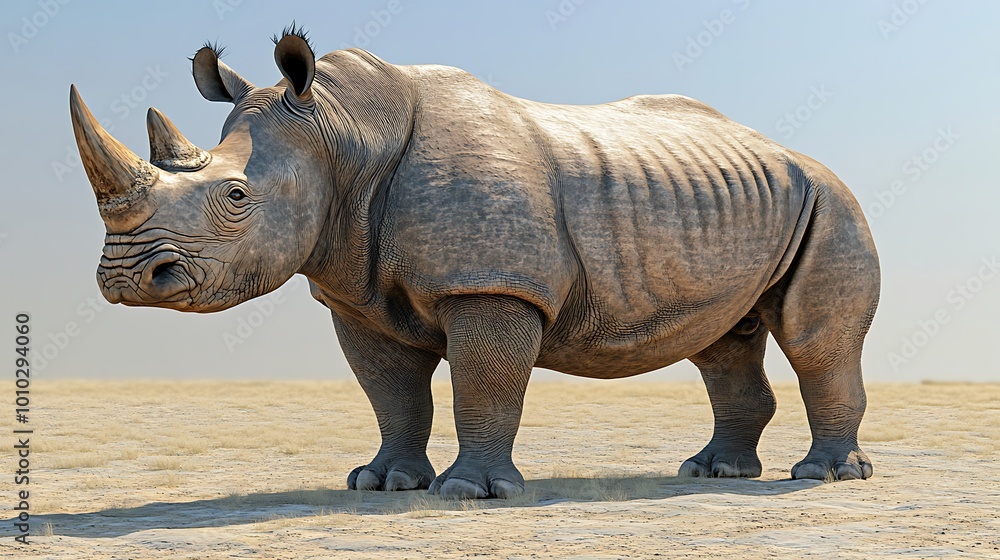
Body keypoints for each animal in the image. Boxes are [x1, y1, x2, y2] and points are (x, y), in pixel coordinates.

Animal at [70, 27, 880, 499]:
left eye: (235, 196)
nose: (125, 279)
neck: (341, 136)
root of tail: (793, 154)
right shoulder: (356, 291)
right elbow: (392, 393)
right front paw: (382, 483)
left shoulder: (492, 285)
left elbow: (483, 386)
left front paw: (471, 493)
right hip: (732, 204)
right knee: (720, 341)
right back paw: (711, 472)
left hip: (831, 201)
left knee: (815, 339)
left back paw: (824, 478)